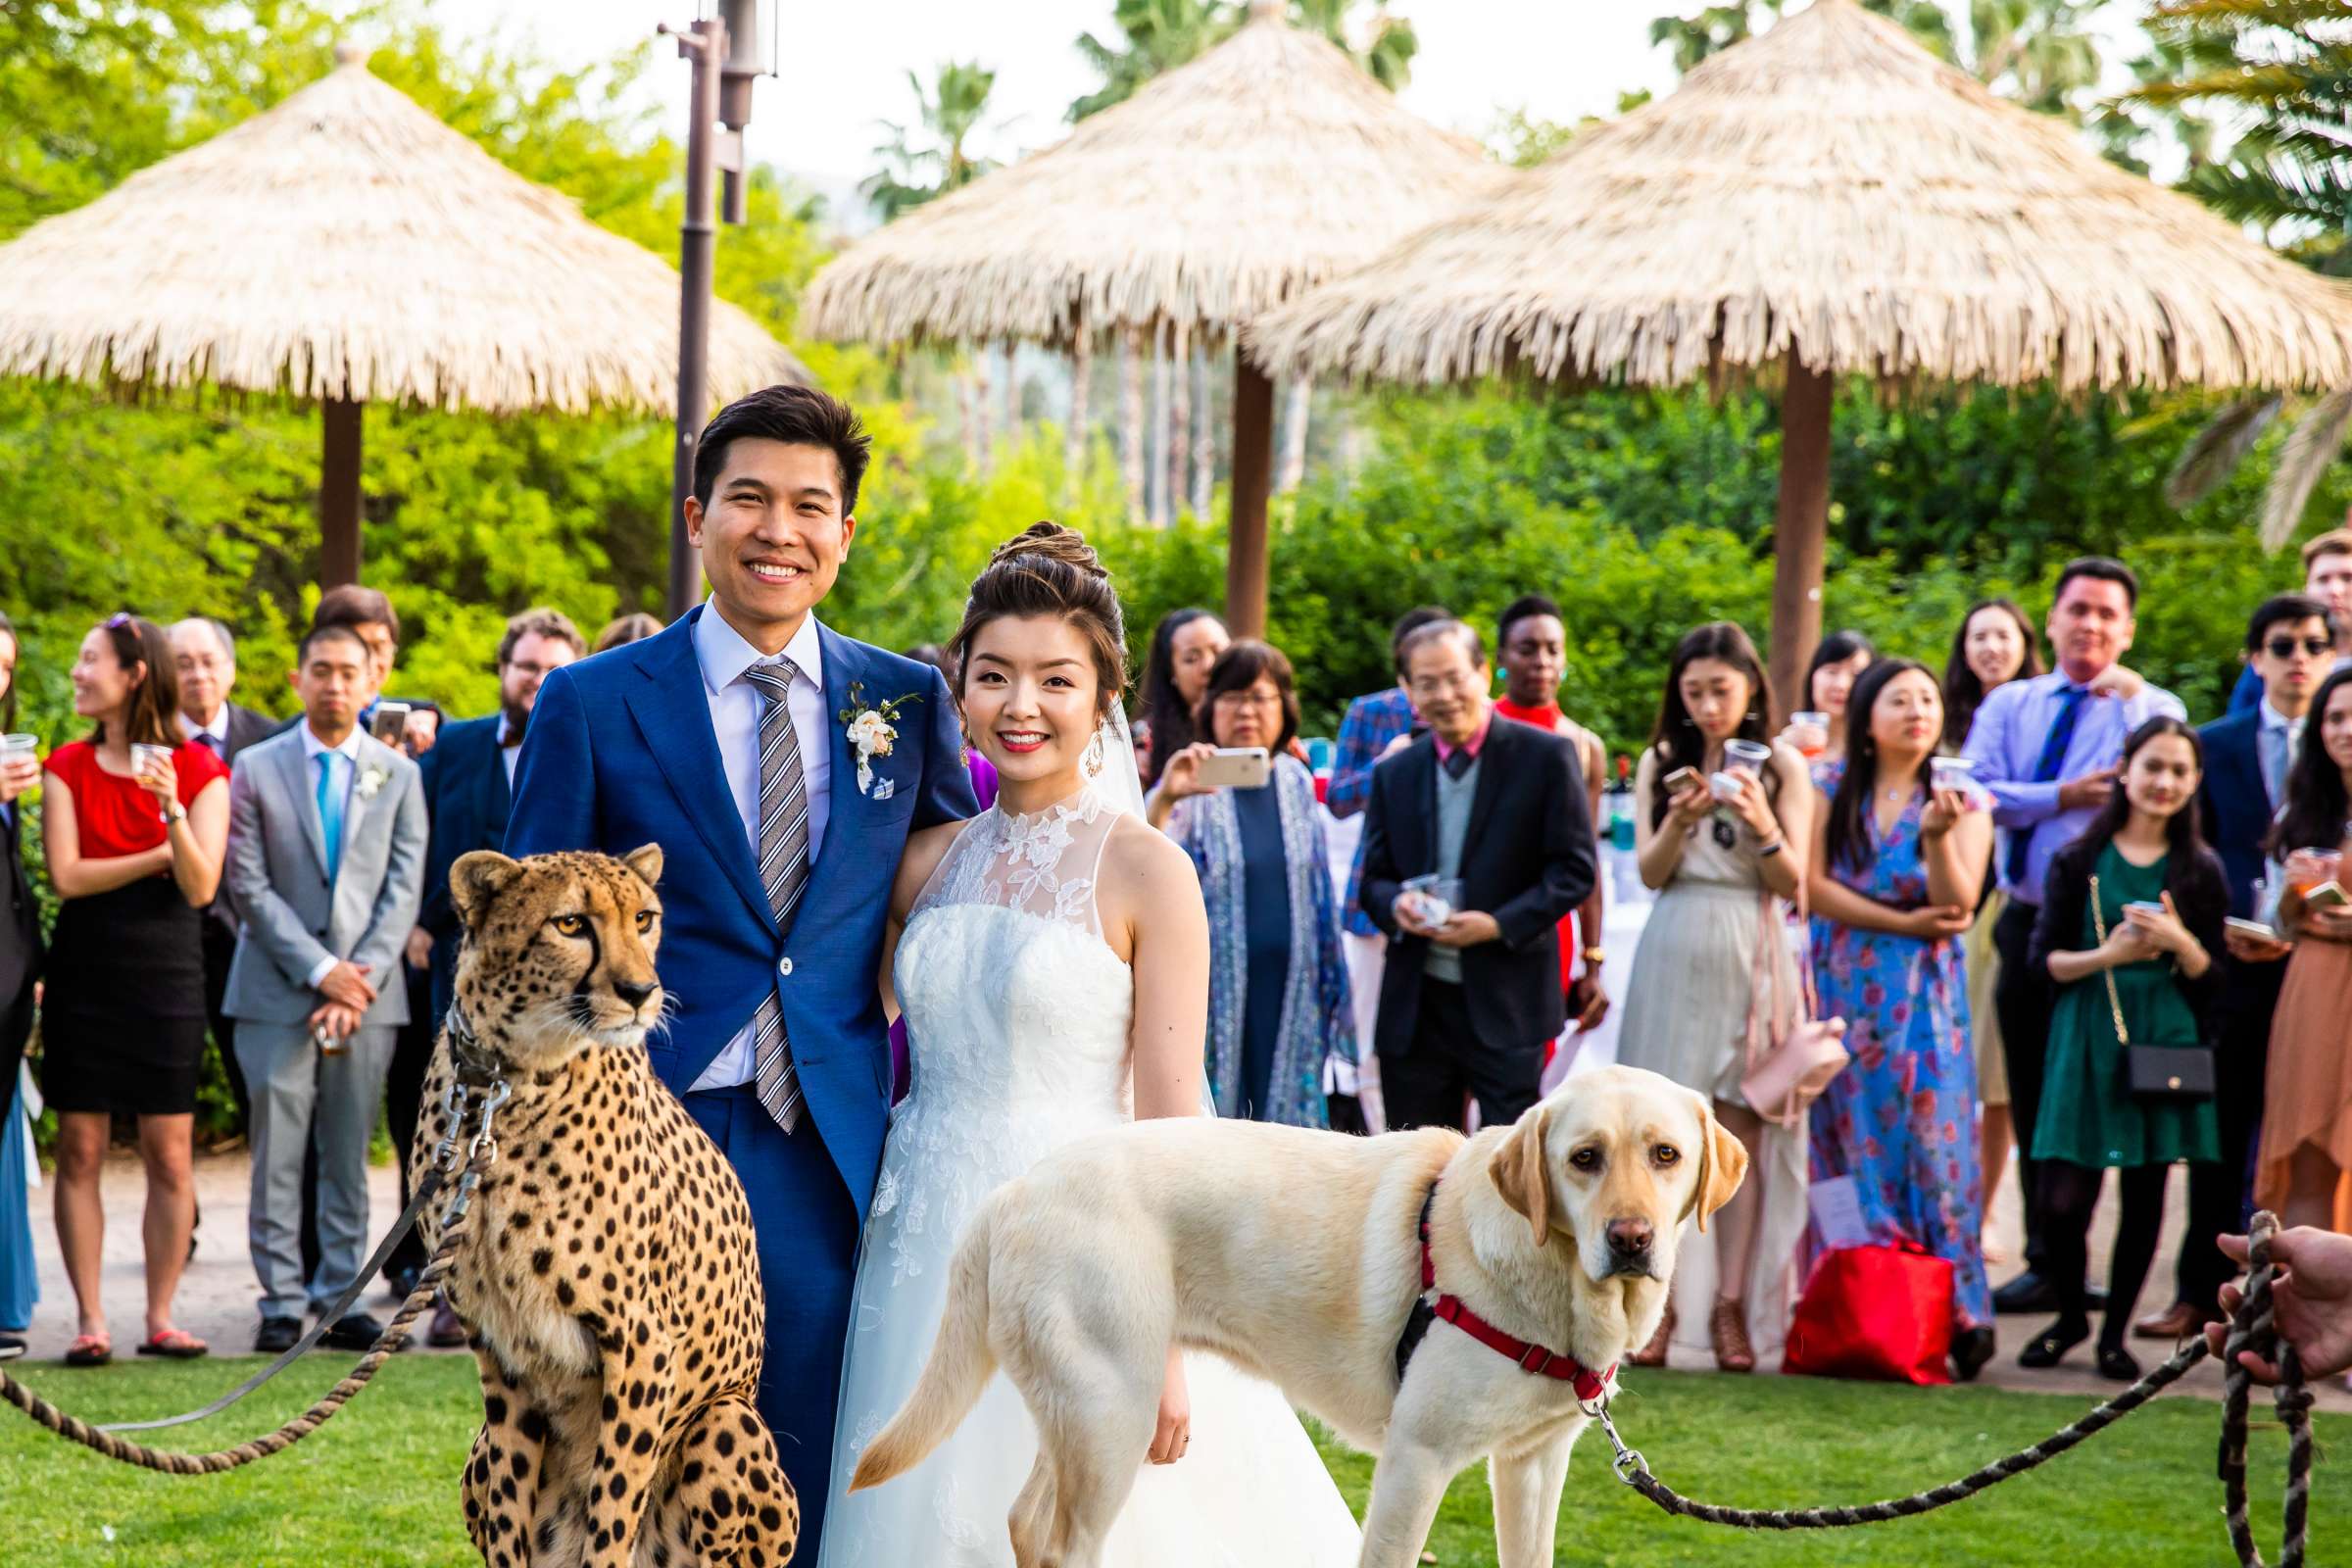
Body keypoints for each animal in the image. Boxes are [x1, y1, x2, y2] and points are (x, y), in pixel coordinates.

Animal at [416, 851, 800, 1560]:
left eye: (644, 919)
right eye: (570, 923)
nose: (641, 991)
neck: (507, 1087)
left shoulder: (643, 1340)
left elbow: (615, 1505)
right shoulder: (499, 1348)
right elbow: (512, 1514)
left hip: (728, 1418)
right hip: (477, 1451)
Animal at [851, 1067, 1749, 1568]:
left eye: (1665, 1155)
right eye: (1583, 1159)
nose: (1630, 1239)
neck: (1561, 1289)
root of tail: (1016, 1188)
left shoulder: (1533, 1461)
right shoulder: (1416, 1461)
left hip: (1087, 1407)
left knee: (1027, 1525)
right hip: (1113, 1415)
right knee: (1065, 1543)